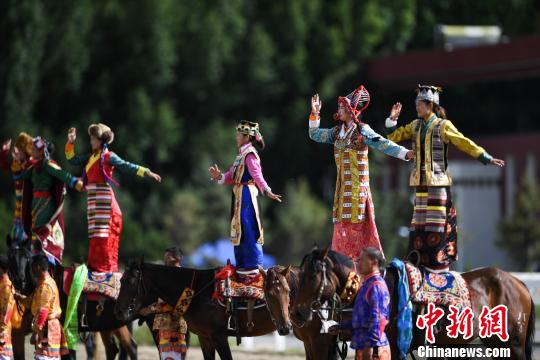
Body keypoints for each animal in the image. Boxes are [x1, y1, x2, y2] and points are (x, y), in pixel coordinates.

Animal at [6, 236, 137, 360]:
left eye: (27, 258)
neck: (54, 279)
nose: (19, 282)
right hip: (107, 325)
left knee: (131, 347)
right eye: (10, 258)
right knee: (112, 349)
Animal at [113, 258, 274, 360]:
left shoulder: (220, 337)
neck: (199, 291)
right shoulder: (205, 337)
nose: (119, 311)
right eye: (121, 280)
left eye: (130, 281)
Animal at [296, 246, 536, 360]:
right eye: (301, 273)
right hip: (496, 342)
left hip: (514, 344)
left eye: (312, 275)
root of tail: (518, 283)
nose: (298, 313)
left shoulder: (393, 346)